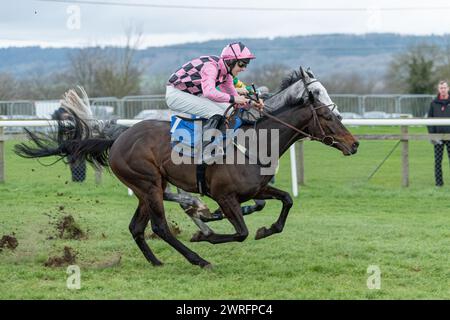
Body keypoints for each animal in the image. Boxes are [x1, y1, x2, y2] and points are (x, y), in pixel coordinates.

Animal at [15, 67, 358, 268]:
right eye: (327, 115)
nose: (353, 144)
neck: (257, 140)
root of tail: (118, 137)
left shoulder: (258, 189)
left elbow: (285, 200)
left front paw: (266, 229)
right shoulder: (225, 196)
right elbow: (240, 232)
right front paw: (205, 234)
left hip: (148, 187)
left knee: (138, 227)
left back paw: (158, 260)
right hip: (148, 184)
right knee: (160, 227)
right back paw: (198, 255)